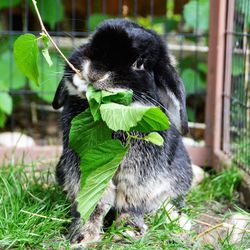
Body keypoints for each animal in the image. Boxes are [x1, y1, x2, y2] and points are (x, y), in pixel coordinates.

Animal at [51, 19, 192, 244]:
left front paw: (128, 230)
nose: (95, 73)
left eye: (140, 63)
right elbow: (93, 202)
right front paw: (83, 236)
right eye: (92, 43)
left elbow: (130, 201)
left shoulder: (140, 174)